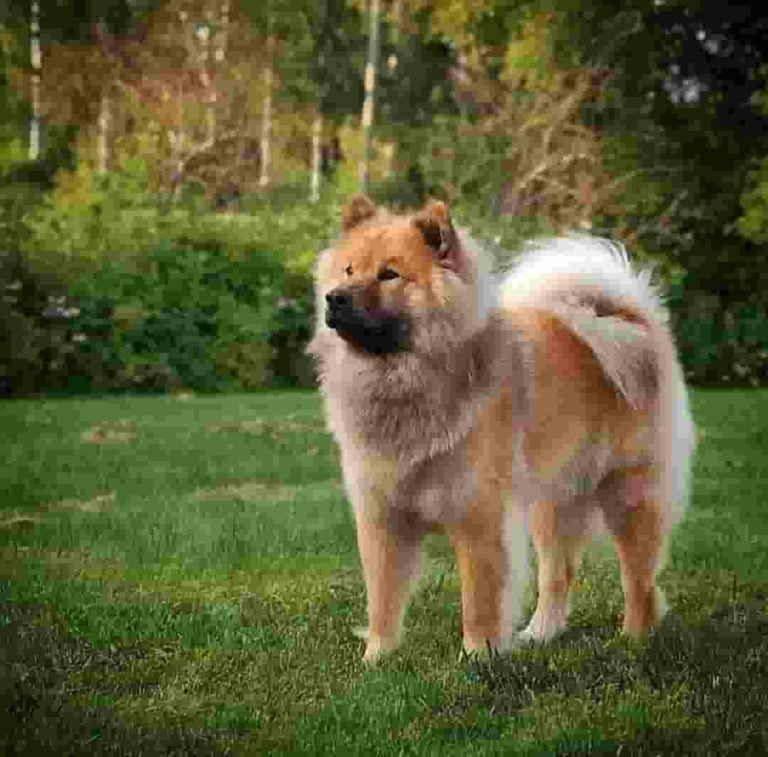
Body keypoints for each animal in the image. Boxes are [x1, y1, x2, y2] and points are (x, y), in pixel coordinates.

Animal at [308, 195, 696, 660]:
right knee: (558, 574)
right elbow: (383, 600)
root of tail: (630, 321)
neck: (403, 381)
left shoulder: (479, 516)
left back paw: (634, 640)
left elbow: (479, 600)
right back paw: (540, 634)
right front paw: (377, 659)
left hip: (628, 494)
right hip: (552, 503)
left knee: (640, 579)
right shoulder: (382, 518)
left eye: (389, 274)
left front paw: (479, 657)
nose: (334, 298)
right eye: (349, 270)